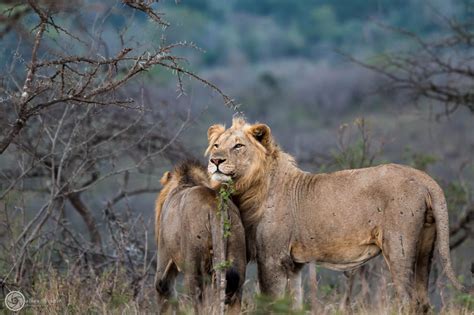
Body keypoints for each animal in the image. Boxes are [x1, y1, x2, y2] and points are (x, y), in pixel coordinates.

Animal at [155, 162, 246, 314]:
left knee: (197, 300)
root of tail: (215, 205)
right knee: (234, 295)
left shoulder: (164, 253)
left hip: (193, 263)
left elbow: (163, 287)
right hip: (237, 251)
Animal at [206, 118, 472, 312]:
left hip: (399, 247)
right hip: (425, 248)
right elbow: (293, 304)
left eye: (238, 146)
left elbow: (271, 304)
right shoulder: (294, 264)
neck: (251, 188)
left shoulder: (272, 258)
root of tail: (424, 177)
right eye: (217, 145)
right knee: (423, 301)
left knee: (410, 301)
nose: (215, 160)